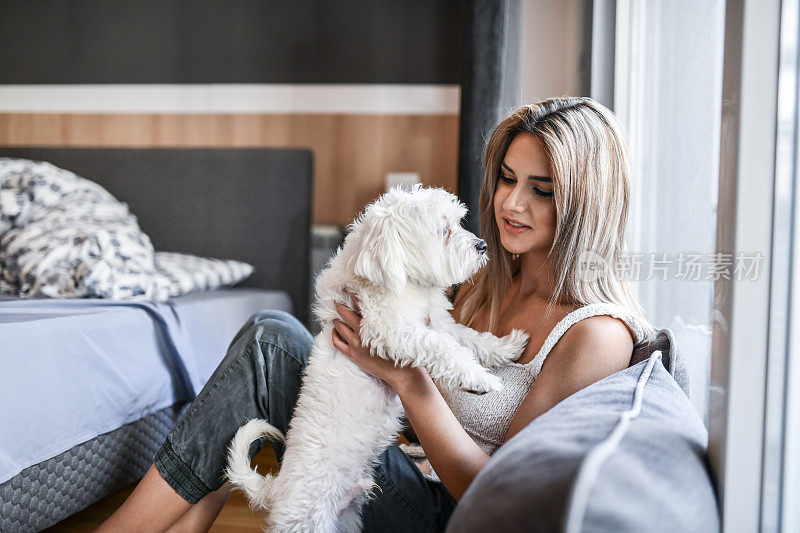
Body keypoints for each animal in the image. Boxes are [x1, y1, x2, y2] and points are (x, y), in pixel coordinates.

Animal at [225, 185, 528, 528]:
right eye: (443, 230)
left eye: (458, 222)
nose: (482, 245)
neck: (405, 285)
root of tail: (276, 491)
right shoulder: (391, 330)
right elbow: (444, 348)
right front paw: (480, 379)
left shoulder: (437, 322)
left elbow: (468, 337)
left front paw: (506, 346)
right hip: (311, 520)